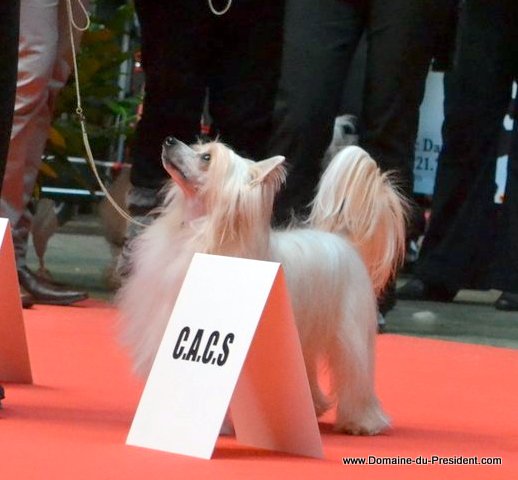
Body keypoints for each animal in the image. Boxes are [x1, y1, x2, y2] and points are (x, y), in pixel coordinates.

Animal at [117, 138, 407, 435]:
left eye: (206, 158)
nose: (169, 140)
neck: (199, 233)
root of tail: (343, 238)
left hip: (350, 336)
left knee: (354, 376)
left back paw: (362, 422)